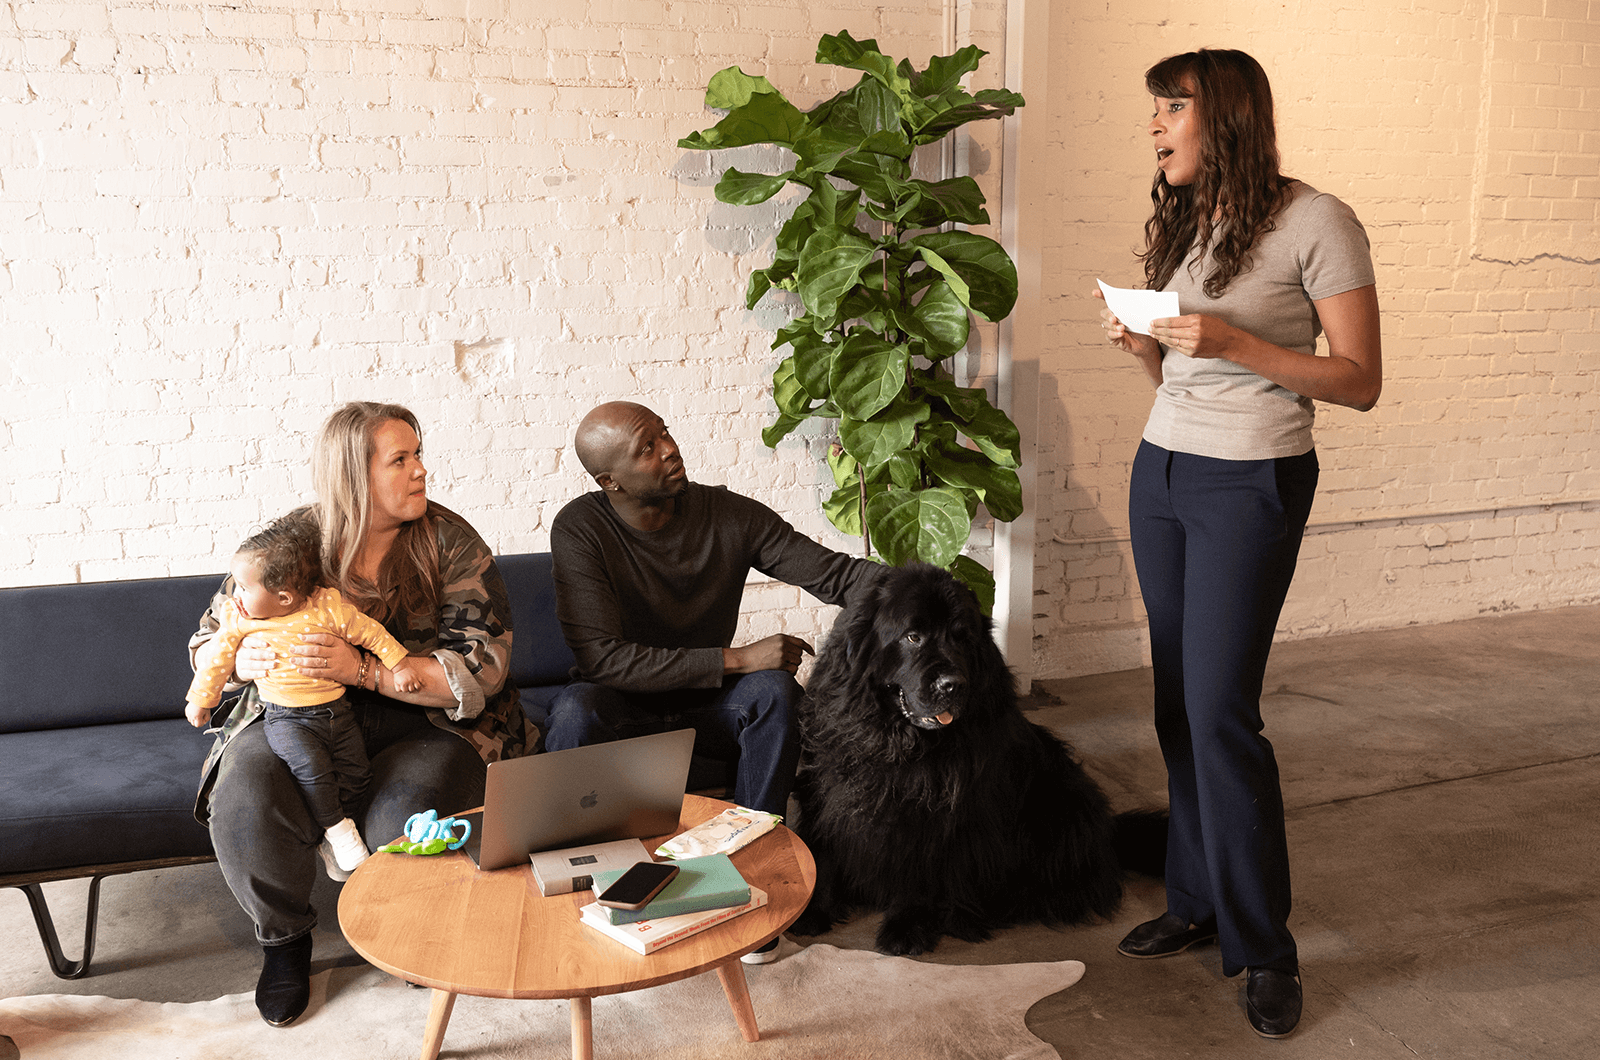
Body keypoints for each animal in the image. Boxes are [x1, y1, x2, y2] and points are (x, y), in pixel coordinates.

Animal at [790, 570, 1158, 960]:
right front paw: (810, 910)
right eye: (913, 636)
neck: (898, 743)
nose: (952, 685)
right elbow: (822, 853)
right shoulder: (829, 794)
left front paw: (908, 926)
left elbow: (920, 869)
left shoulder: (939, 819)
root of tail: (1110, 835)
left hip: (1057, 800)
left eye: (962, 638)